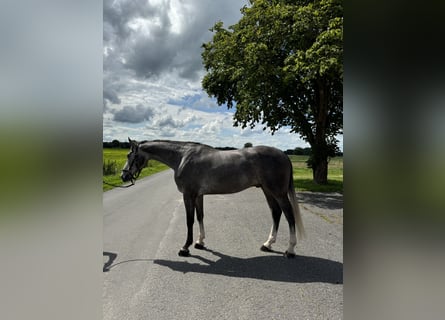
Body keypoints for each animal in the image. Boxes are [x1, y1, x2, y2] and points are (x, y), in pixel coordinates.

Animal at [119, 138, 304, 258]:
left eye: (129, 155)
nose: (124, 176)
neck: (183, 157)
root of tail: (284, 155)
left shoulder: (188, 194)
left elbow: (189, 220)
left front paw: (185, 248)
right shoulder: (199, 195)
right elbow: (200, 216)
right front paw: (200, 242)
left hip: (278, 192)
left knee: (289, 215)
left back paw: (290, 250)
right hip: (267, 190)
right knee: (276, 213)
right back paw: (268, 244)